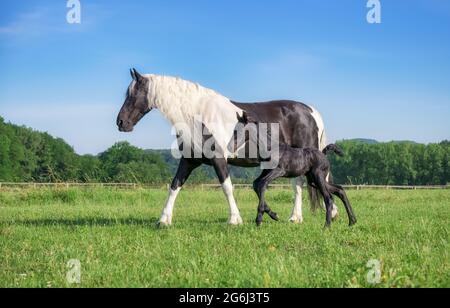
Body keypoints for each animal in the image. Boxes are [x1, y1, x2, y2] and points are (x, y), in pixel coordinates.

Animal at [116, 68, 338, 225]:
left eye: (132, 94)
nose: (121, 122)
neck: (197, 116)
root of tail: (310, 111)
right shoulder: (188, 161)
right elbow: (175, 186)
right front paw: (163, 219)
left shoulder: (218, 159)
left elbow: (227, 187)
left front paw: (235, 219)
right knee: (299, 184)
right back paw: (296, 217)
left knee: (313, 182)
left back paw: (327, 213)